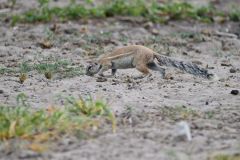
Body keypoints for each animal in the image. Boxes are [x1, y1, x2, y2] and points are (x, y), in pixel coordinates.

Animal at [86, 44, 218, 79]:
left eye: (89, 67)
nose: (85, 74)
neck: (100, 60)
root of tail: (152, 51)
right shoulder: (114, 66)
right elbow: (114, 71)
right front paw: (111, 76)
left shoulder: (107, 64)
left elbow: (104, 69)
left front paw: (100, 74)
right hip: (150, 63)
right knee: (161, 69)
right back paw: (162, 76)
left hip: (139, 64)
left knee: (148, 73)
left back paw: (141, 78)